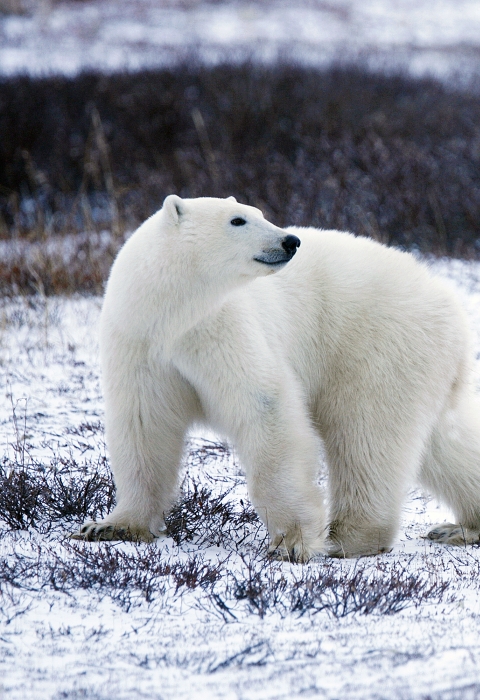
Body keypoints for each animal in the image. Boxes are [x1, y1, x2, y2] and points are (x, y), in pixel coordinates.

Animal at [71, 194, 480, 560]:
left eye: (260, 213)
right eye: (238, 219)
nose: (290, 240)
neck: (174, 314)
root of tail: (450, 303)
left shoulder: (223, 328)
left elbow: (265, 408)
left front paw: (293, 542)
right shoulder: (140, 343)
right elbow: (144, 426)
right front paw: (111, 526)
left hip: (377, 344)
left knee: (366, 434)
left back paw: (348, 538)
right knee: (440, 444)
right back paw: (460, 527)